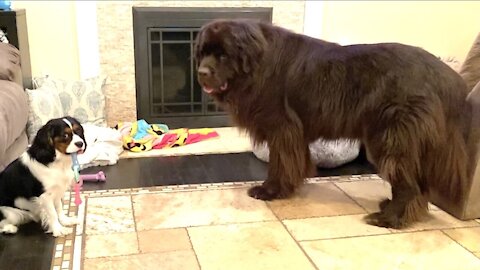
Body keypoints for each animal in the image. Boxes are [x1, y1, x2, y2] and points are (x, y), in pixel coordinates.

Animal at [194, 19, 476, 228]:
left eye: (223, 55)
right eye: (203, 53)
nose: (201, 73)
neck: (257, 65)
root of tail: (448, 77)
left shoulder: (282, 129)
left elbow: (280, 163)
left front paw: (271, 191)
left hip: (391, 139)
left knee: (408, 183)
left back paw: (389, 218)